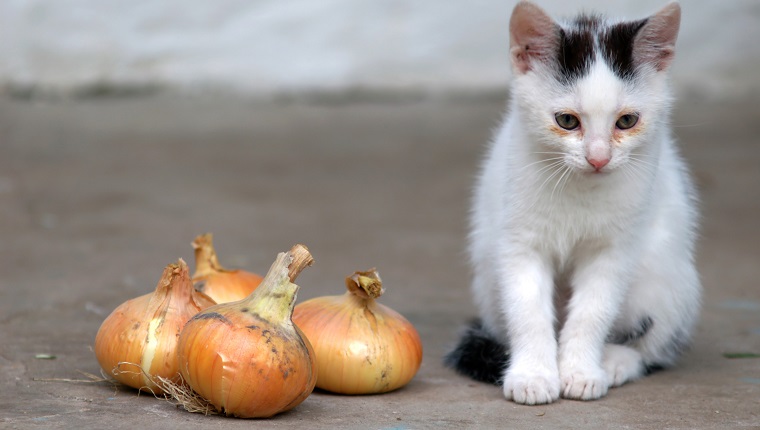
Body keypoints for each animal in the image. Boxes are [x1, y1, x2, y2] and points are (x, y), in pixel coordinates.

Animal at [446, 0, 700, 406]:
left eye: (627, 121)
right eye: (567, 120)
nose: (598, 158)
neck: (580, 188)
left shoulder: (614, 249)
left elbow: (593, 311)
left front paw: (581, 372)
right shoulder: (519, 241)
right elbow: (527, 309)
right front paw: (533, 375)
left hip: (665, 275)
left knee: (654, 343)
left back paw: (615, 361)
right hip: (487, 273)